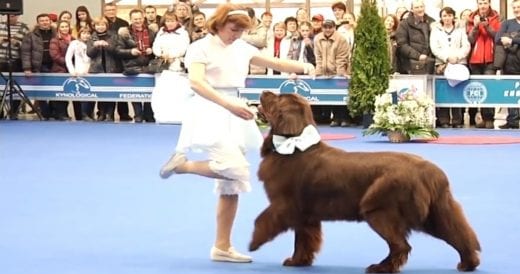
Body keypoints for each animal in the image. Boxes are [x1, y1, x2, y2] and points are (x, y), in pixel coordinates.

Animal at [250, 91, 482, 272]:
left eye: (278, 97)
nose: (263, 91)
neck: (294, 145)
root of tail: (430, 171)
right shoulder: (306, 214)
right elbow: (305, 240)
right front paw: (298, 261)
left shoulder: (285, 204)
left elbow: (263, 220)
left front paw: (253, 243)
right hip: (437, 212)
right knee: (460, 234)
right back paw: (468, 263)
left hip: (379, 209)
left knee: (401, 246)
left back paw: (380, 267)